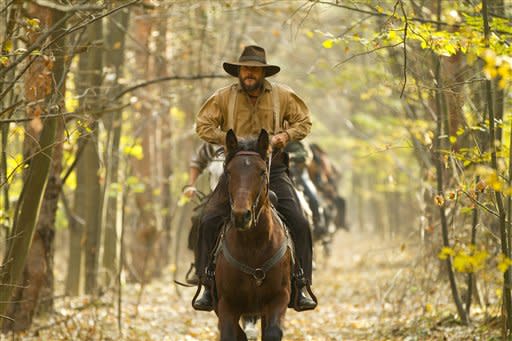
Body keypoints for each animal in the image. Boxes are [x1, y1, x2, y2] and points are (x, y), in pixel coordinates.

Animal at [213, 129, 292, 340]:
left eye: (262, 172)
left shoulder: (278, 298)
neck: (253, 245)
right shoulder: (226, 304)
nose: (242, 216)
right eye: (229, 172)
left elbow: (272, 332)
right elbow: (232, 334)